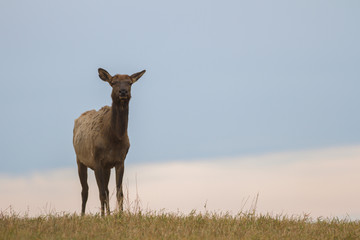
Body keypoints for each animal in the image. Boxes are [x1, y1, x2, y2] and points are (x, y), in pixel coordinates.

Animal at [72, 67, 146, 216]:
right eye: (114, 82)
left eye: (129, 82)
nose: (123, 91)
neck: (113, 139)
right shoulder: (97, 161)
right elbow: (101, 193)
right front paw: (102, 217)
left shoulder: (119, 161)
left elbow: (119, 193)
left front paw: (120, 215)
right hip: (80, 160)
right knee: (85, 191)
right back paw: (83, 215)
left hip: (106, 168)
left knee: (105, 189)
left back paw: (108, 213)